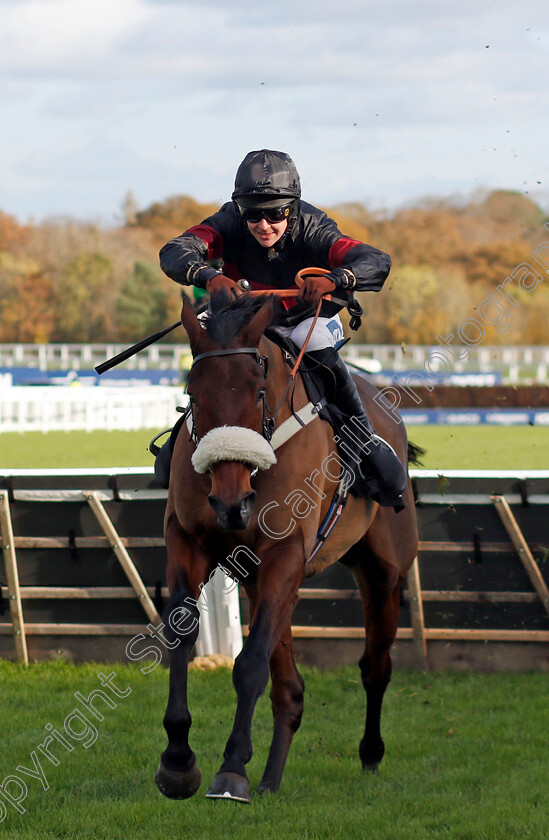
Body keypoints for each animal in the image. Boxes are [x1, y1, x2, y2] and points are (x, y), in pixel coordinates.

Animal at [156, 292, 418, 804]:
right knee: (290, 688)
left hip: (384, 571)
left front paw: (231, 769)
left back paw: (370, 753)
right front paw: (178, 762)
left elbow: (251, 662)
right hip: (258, 579)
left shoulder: (285, 553)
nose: (231, 503)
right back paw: (271, 778)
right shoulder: (189, 540)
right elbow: (182, 633)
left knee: (375, 666)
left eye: (258, 391)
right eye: (193, 394)